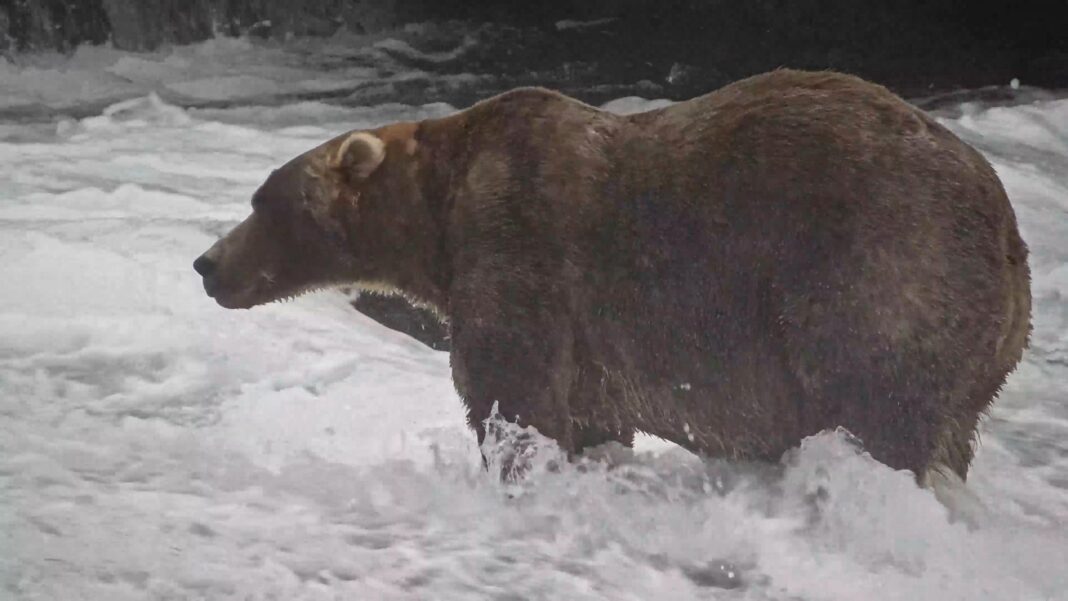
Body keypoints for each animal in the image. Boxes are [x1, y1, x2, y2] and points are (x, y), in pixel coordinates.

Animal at [193, 69, 1031, 483]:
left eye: (263, 201)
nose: (206, 264)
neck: (437, 215)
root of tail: (1008, 231)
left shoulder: (520, 244)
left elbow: (511, 390)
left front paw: (515, 467)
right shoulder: (593, 343)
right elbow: (591, 413)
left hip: (877, 270)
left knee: (876, 403)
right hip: (981, 350)